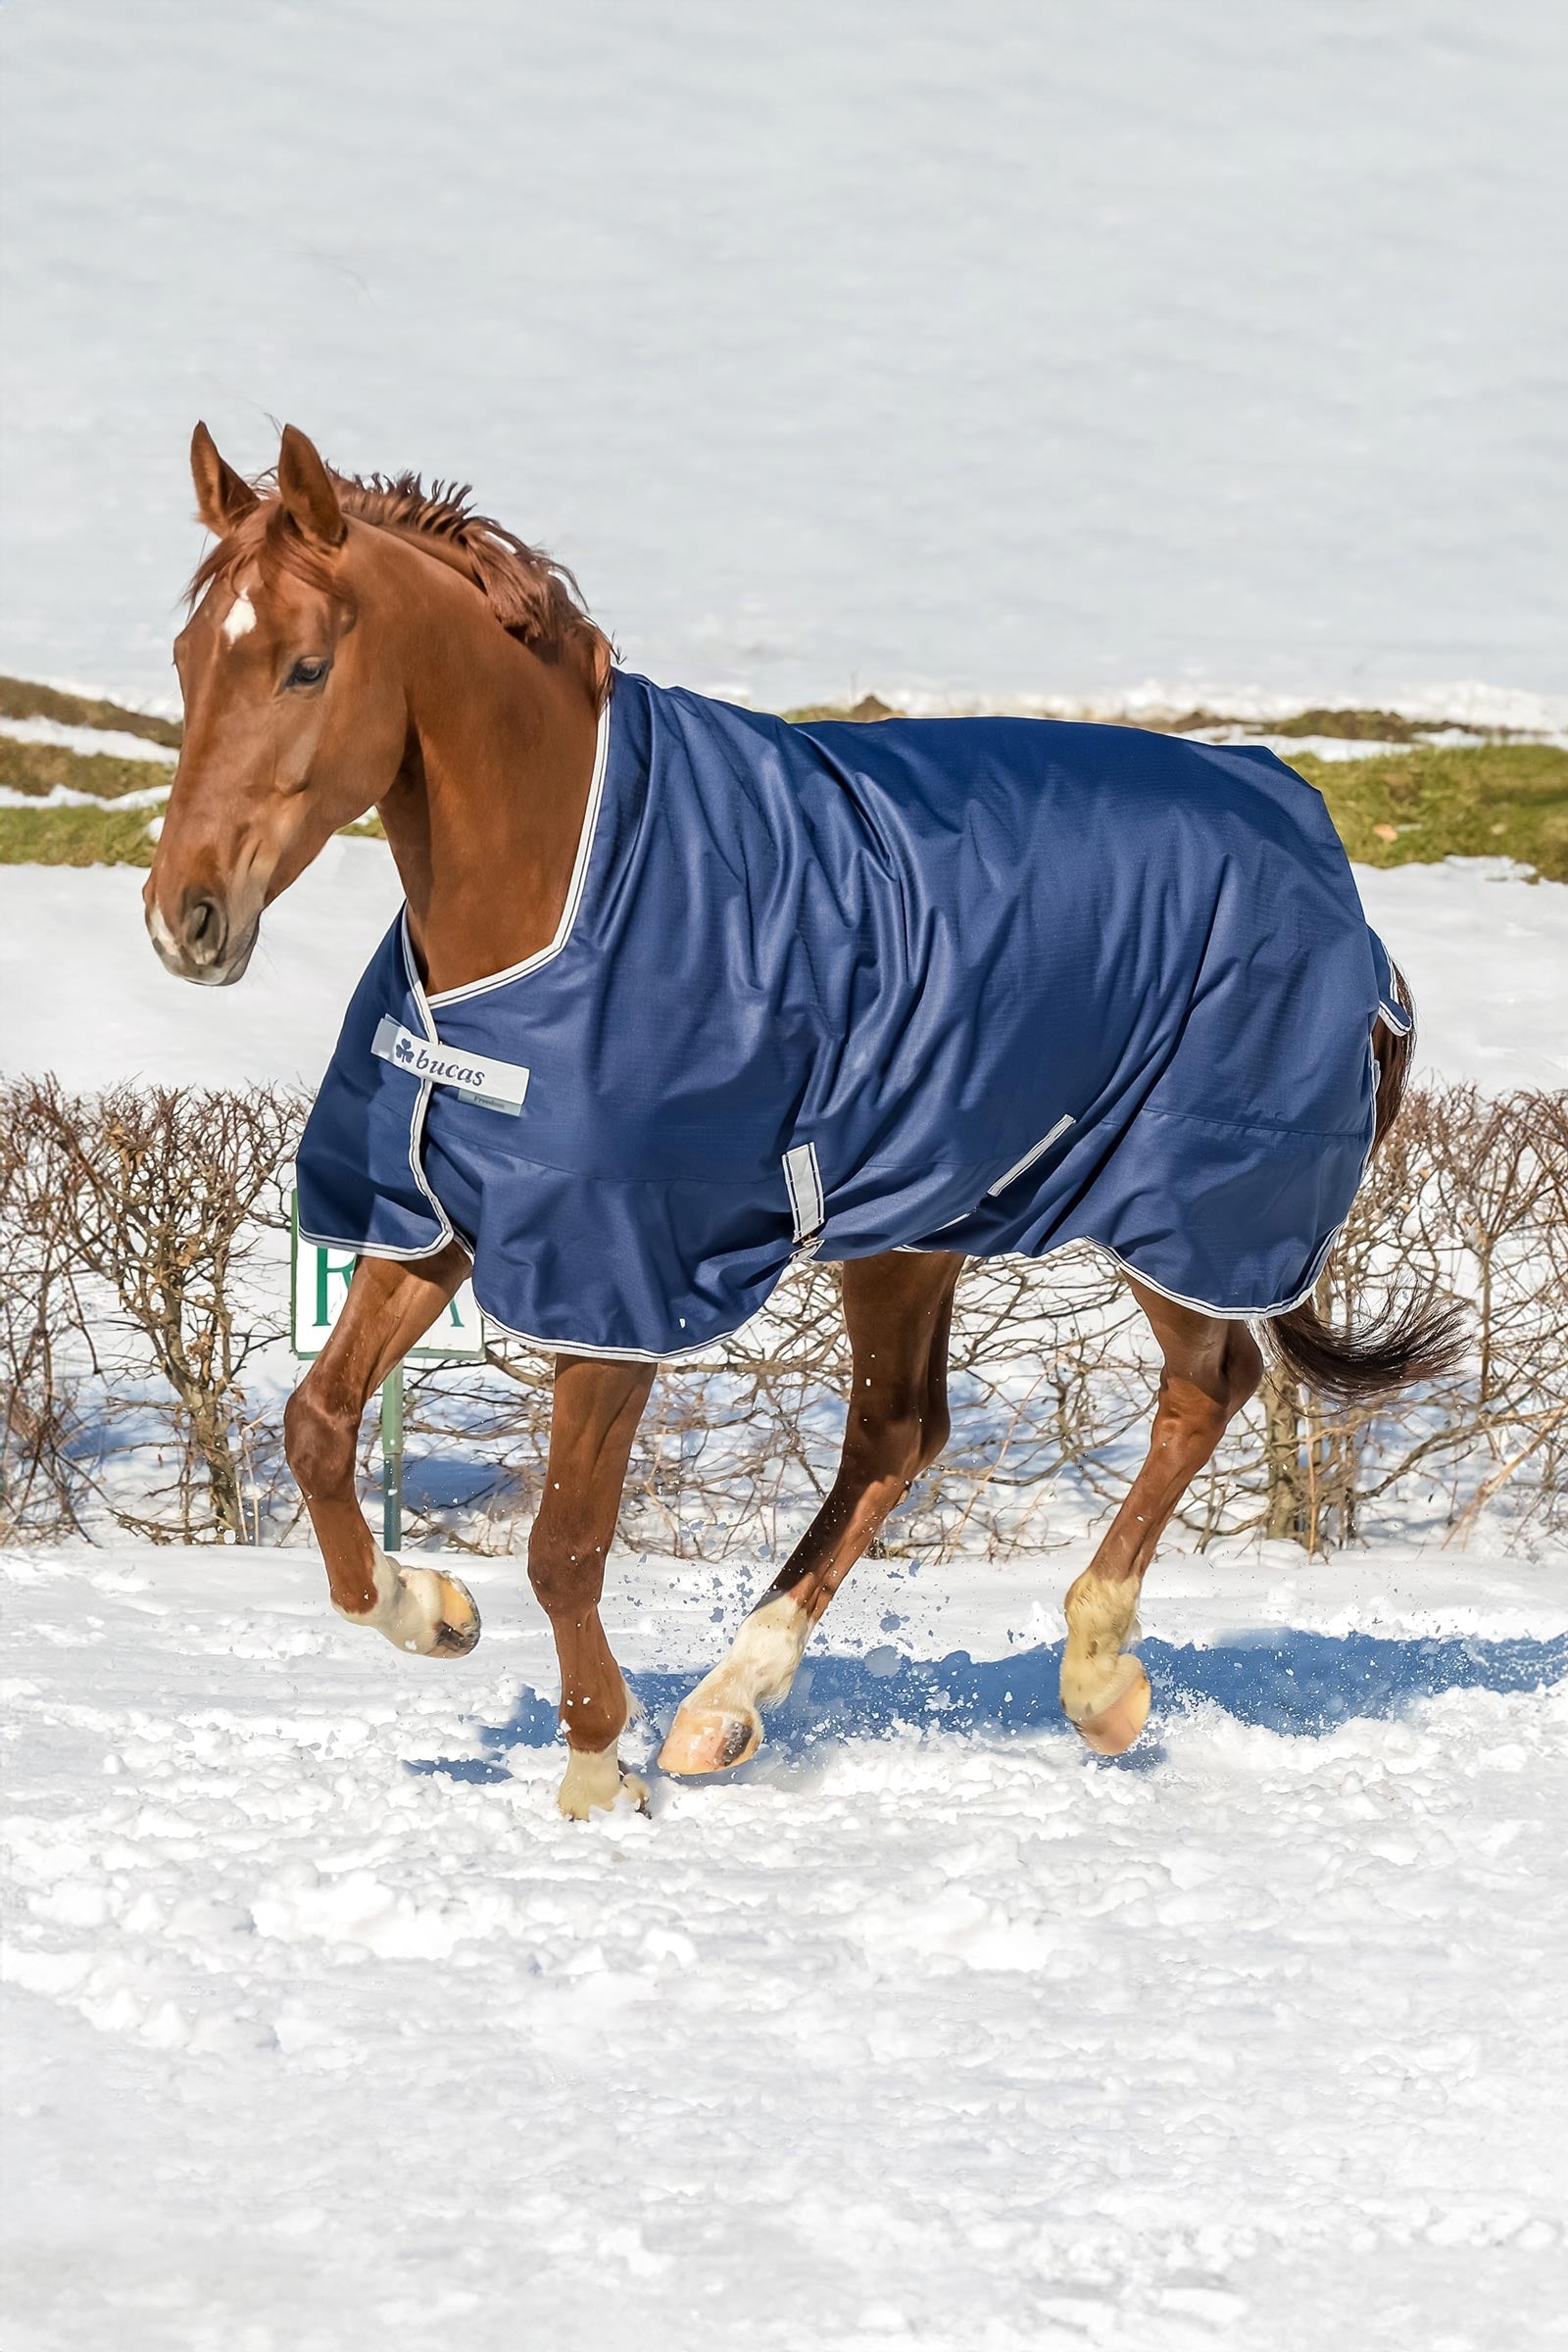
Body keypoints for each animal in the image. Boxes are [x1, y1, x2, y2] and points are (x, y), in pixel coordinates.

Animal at [146, 421, 1462, 1818]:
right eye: (186, 659)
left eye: (306, 665)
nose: (187, 918)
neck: (566, 881)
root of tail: (1329, 870)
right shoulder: (438, 1220)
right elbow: (318, 1429)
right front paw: (430, 1608)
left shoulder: (616, 1282)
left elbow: (564, 1543)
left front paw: (597, 1770)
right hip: (921, 1217)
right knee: (900, 1434)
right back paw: (728, 1706)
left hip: (1174, 1207)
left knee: (1204, 1386)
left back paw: (1095, 1677)